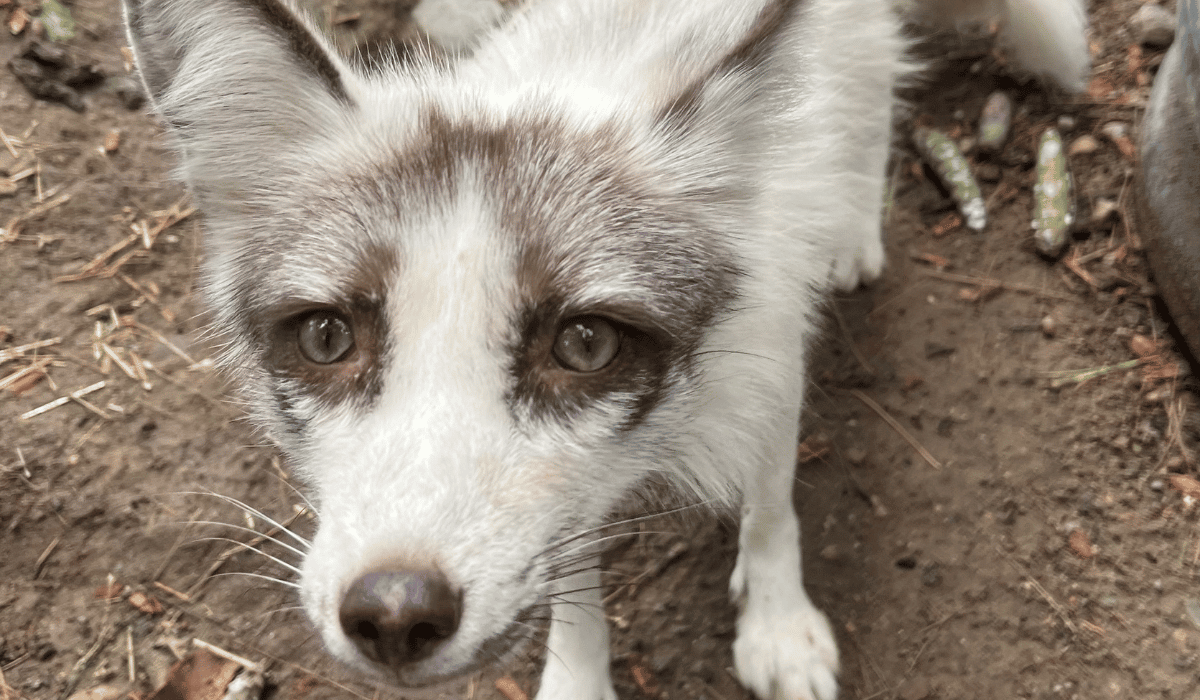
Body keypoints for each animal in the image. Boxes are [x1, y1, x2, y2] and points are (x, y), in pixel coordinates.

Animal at [121, 0, 1088, 698]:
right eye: (327, 337)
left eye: (583, 343)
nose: (394, 615)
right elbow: (576, 593)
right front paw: (579, 678)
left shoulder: (772, 363)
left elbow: (773, 512)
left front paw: (778, 627)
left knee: (875, 89)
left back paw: (851, 227)